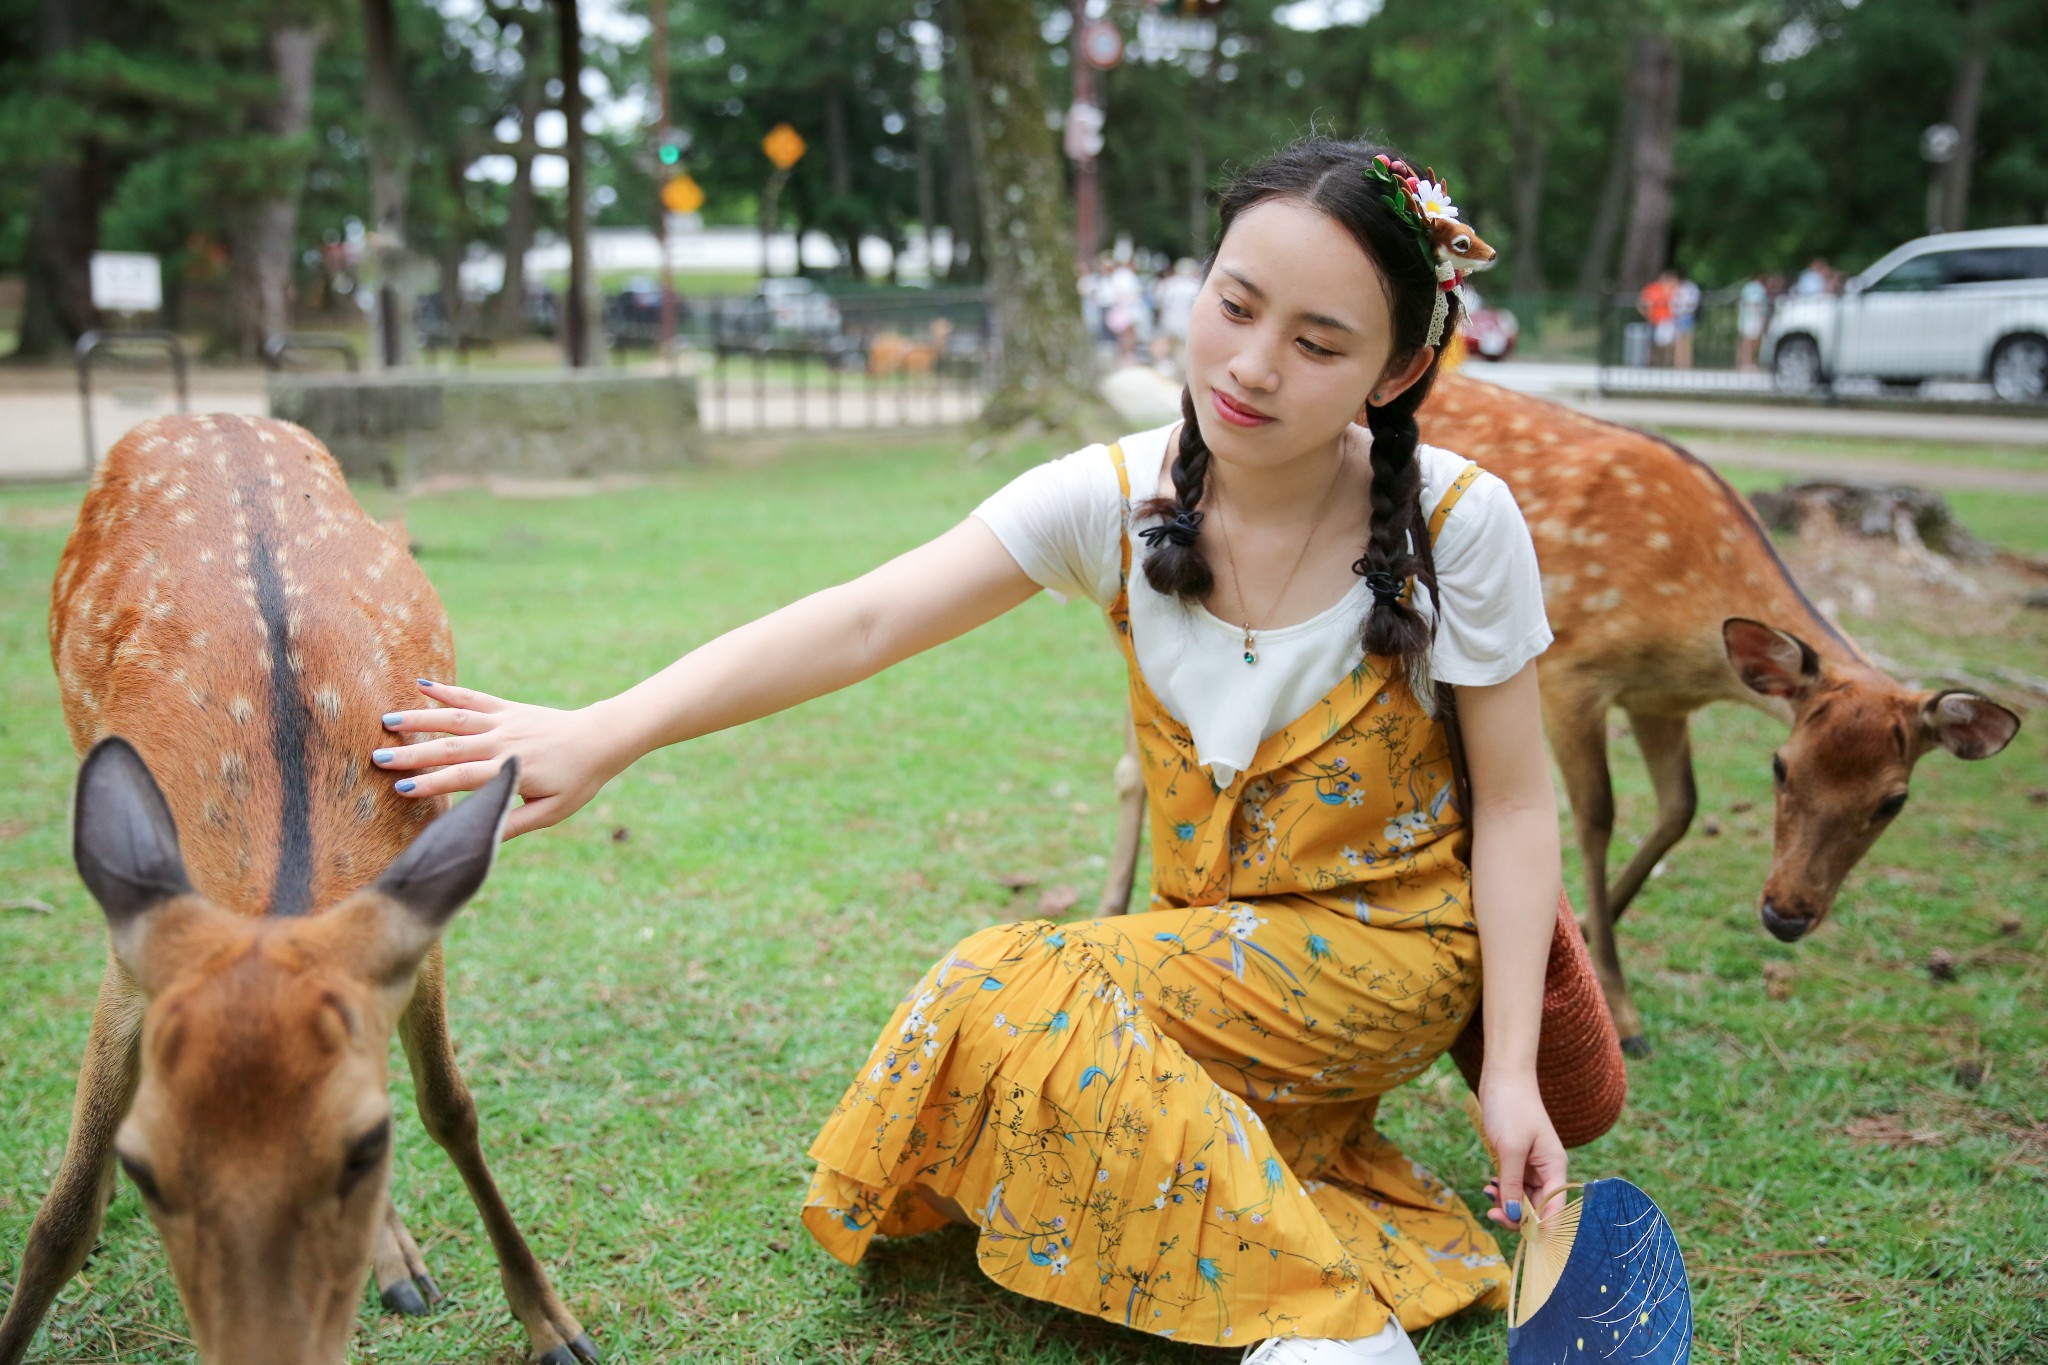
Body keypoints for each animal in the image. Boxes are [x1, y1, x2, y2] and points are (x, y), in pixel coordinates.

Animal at [4, 413, 598, 1365]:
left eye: (362, 1146)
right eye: (151, 1166)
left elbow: (450, 1106)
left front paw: (553, 1323)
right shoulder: (133, 961)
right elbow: (65, 1211)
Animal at [1105, 374, 2015, 1055]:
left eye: (1893, 801)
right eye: (1782, 767)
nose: (1785, 914)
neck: (1691, 618)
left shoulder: (1659, 698)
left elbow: (1679, 808)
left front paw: (1592, 924)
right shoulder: (1576, 670)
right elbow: (1600, 812)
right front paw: (1623, 1006)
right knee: (1141, 756)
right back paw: (1116, 901)